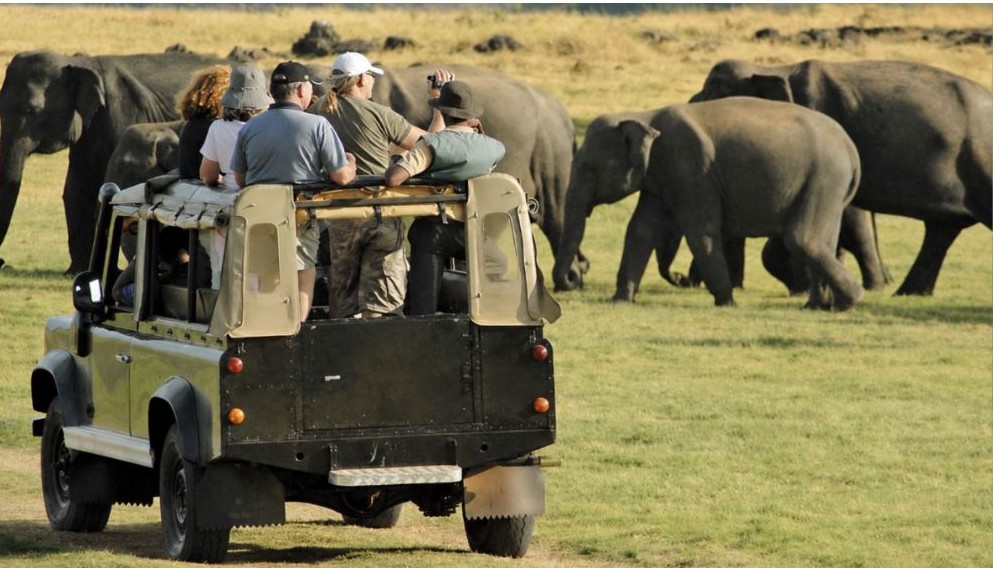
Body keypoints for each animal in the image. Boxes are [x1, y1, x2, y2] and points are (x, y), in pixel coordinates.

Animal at [0, 49, 227, 273]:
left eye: (32, 111)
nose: (3, 263)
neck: (80, 63)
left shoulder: (122, 113)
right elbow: (77, 188)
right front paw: (76, 272)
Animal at [553, 109, 888, 295]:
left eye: (588, 168)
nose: (574, 277)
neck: (645, 116)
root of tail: (852, 150)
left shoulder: (692, 169)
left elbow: (701, 231)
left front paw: (727, 301)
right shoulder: (660, 178)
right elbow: (640, 231)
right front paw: (621, 299)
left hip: (823, 180)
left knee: (803, 239)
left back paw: (853, 297)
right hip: (828, 188)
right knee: (822, 242)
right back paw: (822, 305)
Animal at [690, 58, 993, 296]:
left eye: (712, 90)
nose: (686, 281)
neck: (775, 69)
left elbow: (848, 215)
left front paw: (804, 286)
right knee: (941, 230)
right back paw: (908, 292)